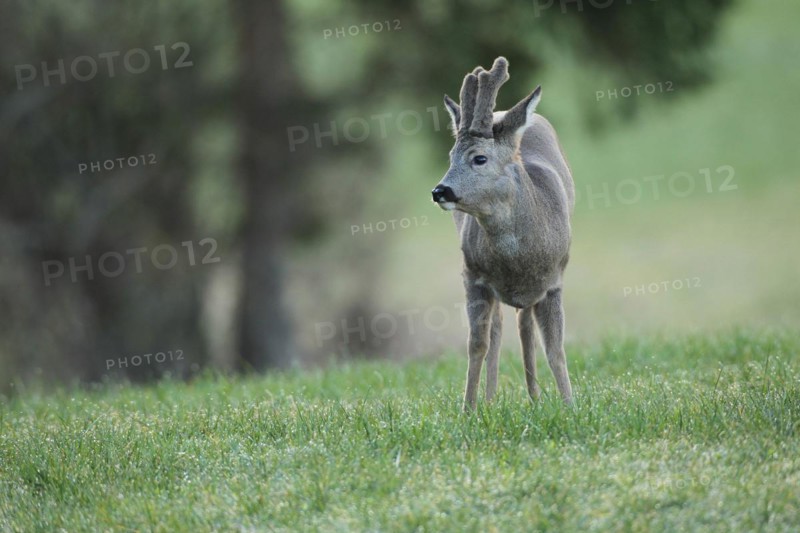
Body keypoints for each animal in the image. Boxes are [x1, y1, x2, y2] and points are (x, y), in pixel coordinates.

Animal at [431, 57, 574, 411]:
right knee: (498, 327)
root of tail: (505, 113)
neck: (517, 258)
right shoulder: (472, 276)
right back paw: (493, 397)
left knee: (524, 326)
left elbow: (555, 348)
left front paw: (570, 406)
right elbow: (477, 344)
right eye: (450, 157)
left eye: (479, 158)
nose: (440, 191)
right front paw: (468, 409)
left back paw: (534, 396)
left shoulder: (554, 281)